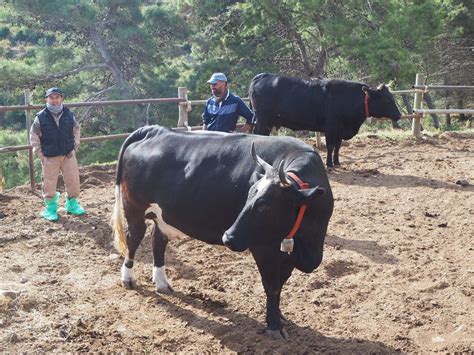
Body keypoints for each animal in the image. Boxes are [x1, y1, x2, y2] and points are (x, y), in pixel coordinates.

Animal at [112, 126, 334, 340]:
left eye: (265, 205)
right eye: (248, 194)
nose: (228, 237)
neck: (309, 242)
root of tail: (154, 130)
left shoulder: (288, 253)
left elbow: (280, 283)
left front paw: (278, 316)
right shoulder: (263, 247)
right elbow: (272, 285)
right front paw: (273, 326)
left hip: (162, 216)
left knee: (158, 240)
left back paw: (162, 283)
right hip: (134, 208)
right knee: (134, 238)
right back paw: (128, 278)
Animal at [250, 73, 402, 169]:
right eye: (386, 99)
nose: (399, 115)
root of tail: (263, 76)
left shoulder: (340, 130)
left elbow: (338, 146)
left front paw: (337, 162)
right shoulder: (331, 128)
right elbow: (330, 146)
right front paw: (329, 164)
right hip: (263, 120)